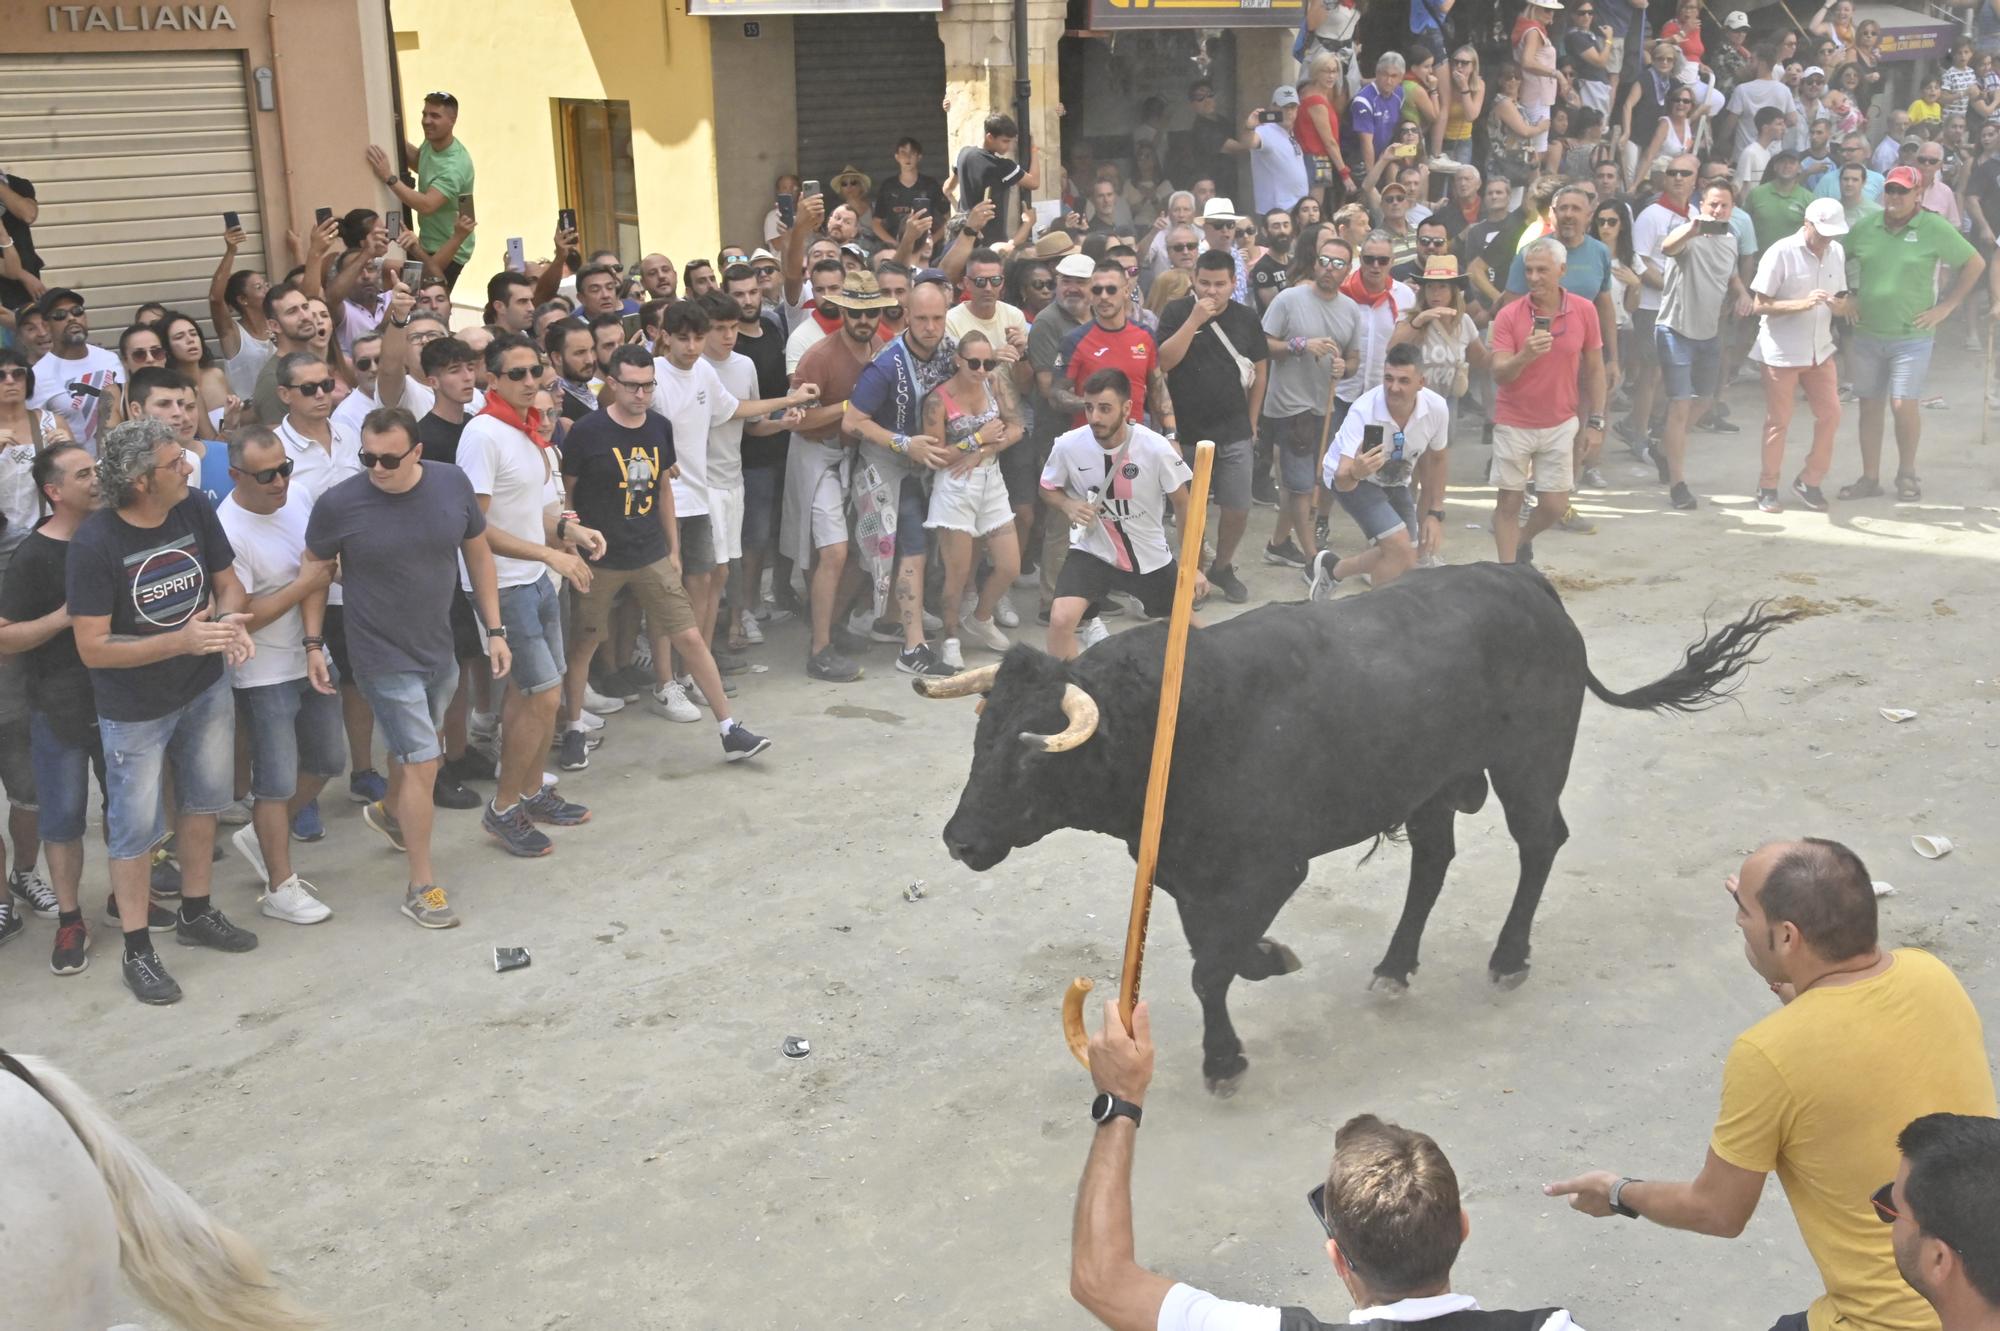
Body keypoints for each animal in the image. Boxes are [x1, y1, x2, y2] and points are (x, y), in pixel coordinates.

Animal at [920, 559, 1800, 1087]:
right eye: (979, 739)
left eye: (1030, 756)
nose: (959, 840)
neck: (1170, 726)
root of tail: (1525, 579)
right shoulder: (1186, 871)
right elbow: (1218, 953)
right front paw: (1270, 961)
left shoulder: (1272, 867)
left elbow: (1211, 966)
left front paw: (1224, 1055)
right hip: (1432, 783)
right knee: (1434, 860)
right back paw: (1395, 964)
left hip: (1528, 762)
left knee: (1539, 843)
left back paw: (1507, 956)